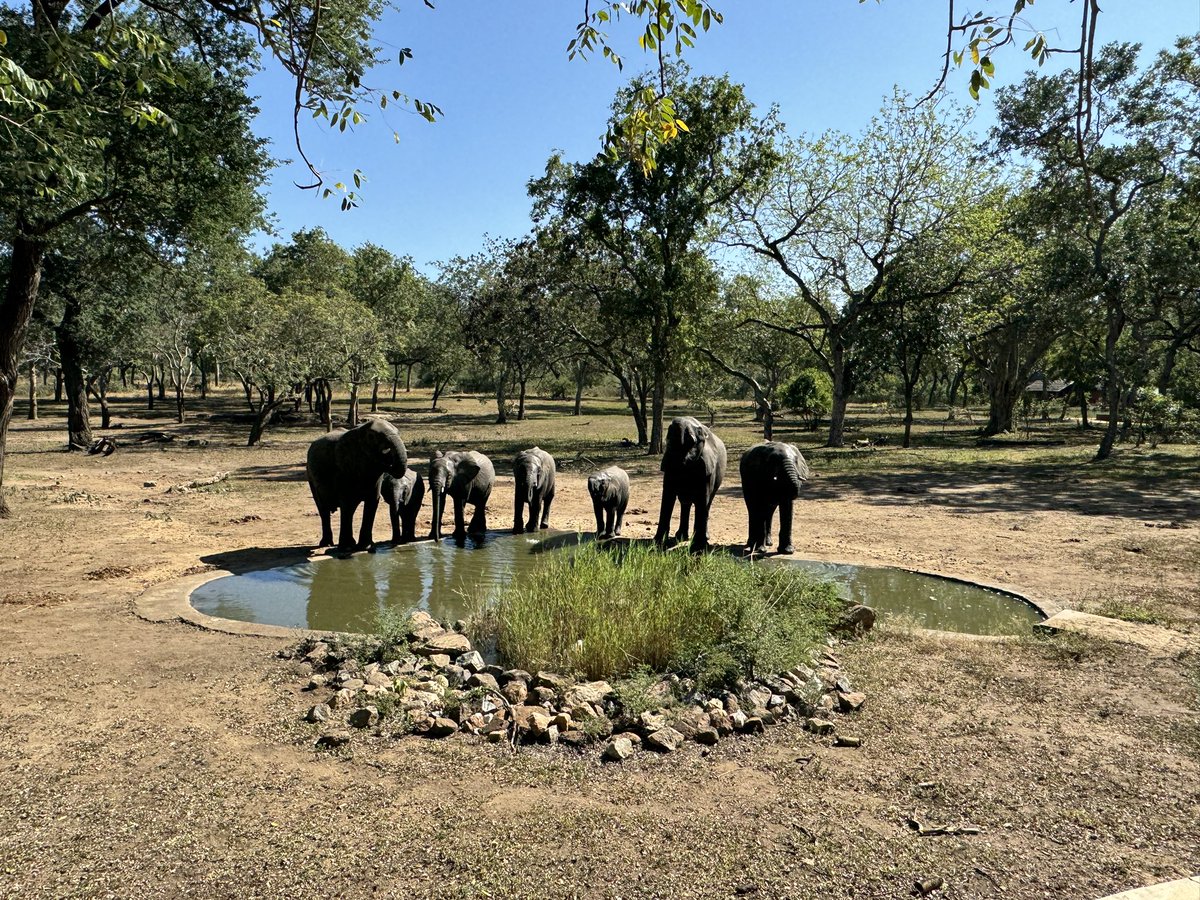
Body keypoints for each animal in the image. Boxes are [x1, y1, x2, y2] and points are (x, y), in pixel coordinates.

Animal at [306, 418, 408, 551]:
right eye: (372, 437)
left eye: (398, 432)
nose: (387, 457)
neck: (359, 430)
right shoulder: (343, 469)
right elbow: (346, 503)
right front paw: (346, 548)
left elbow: (372, 501)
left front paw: (365, 547)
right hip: (310, 475)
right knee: (323, 508)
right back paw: (327, 544)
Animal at [654, 416, 727, 552]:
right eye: (668, 441)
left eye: (692, 442)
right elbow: (668, 497)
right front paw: (658, 544)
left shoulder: (707, 467)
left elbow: (702, 500)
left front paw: (698, 548)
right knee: (685, 503)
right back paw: (681, 537)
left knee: (707, 503)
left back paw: (702, 538)